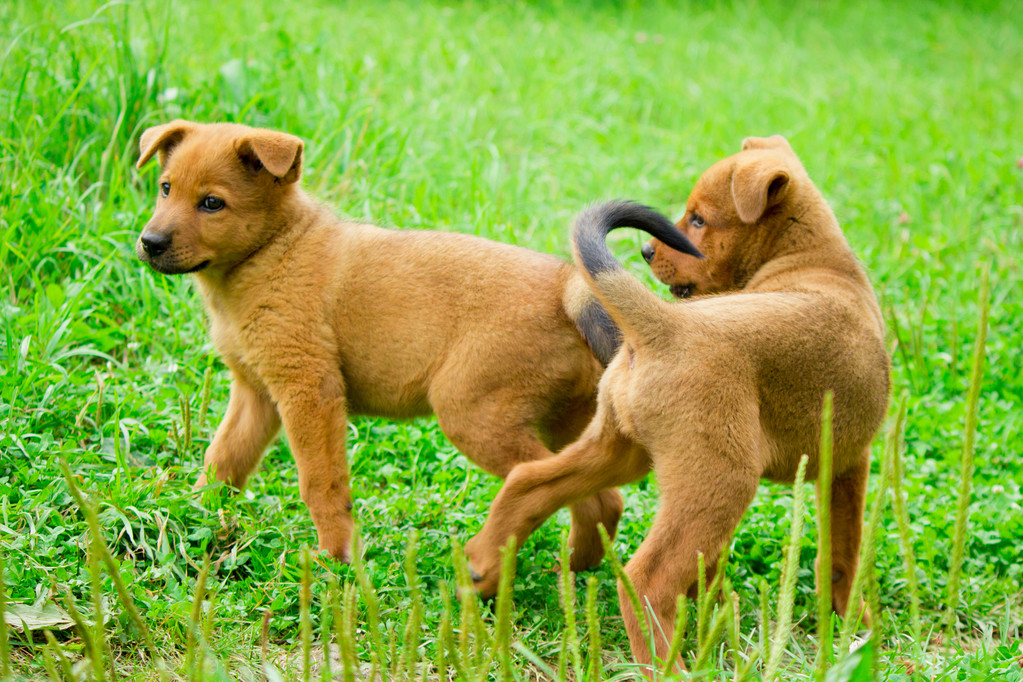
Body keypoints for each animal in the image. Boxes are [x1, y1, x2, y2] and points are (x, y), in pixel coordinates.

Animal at [134, 121, 703, 564]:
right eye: (164, 188)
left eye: (212, 203)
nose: (149, 243)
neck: (272, 250)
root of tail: (571, 287)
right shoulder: (256, 393)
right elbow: (224, 459)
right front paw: (194, 512)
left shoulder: (309, 391)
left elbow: (320, 482)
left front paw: (334, 558)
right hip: (567, 421)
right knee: (601, 498)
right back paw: (577, 571)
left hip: (473, 414)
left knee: (558, 487)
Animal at [468, 135, 892, 670]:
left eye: (699, 220)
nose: (647, 250)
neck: (816, 261)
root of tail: (662, 325)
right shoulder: (849, 462)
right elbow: (843, 554)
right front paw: (854, 624)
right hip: (720, 477)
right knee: (647, 580)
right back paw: (669, 665)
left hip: (620, 450)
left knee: (529, 482)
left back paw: (482, 569)